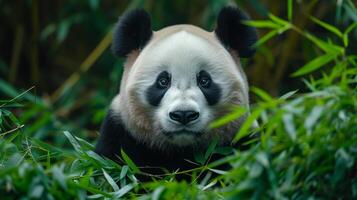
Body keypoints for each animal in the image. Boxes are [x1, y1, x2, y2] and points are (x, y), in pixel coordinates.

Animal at [94, 5, 256, 175]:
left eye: (204, 81)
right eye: (163, 81)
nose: (184, 114)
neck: (181, 151)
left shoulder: (241, 136)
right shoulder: (121, 133)